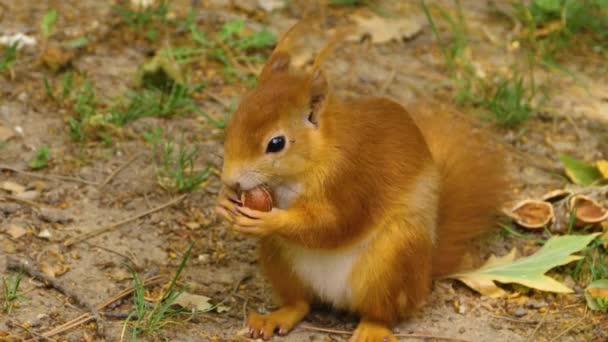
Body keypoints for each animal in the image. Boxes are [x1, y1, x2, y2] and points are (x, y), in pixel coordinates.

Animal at [216, 22, 506, 342]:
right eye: (233, 122)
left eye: (276, 143)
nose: (230, 179)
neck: (304, 169)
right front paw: (223, 201)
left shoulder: (352, 179)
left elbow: (334, 224)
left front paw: (270, 220)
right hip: (280, 261)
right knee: (300, 302)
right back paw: (277, 316)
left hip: (394, 260)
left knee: (382, 311)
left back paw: (372, 328)